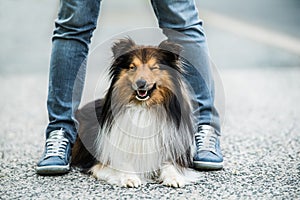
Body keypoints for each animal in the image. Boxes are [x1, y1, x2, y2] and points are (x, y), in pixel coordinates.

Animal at [72, 38, 199, 188]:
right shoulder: (105, 158)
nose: (141, 83)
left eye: (154, 67)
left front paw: (174, 178)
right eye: (132, 67)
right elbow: (122, 163)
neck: (143, 108)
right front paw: (130, 178)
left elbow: (170, 165)